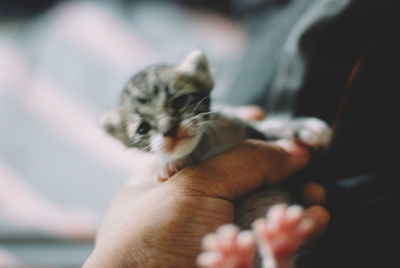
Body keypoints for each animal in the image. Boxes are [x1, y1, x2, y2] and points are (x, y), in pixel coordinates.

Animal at [101, 49, 332, 266]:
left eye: (180, 101)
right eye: (143, 128)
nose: (170, 130)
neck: (211, 143)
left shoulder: (241, 123)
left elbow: (269, 125)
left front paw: (303, 128)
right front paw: (170, 164)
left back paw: (277, 243)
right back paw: (244, 254)